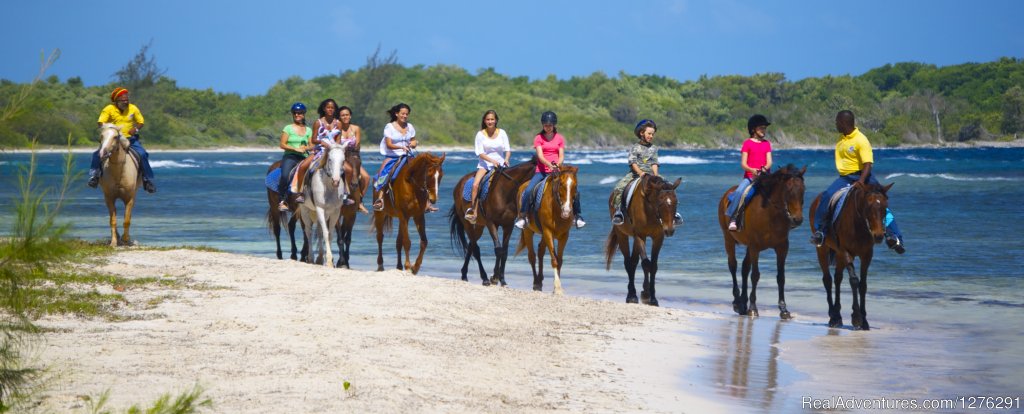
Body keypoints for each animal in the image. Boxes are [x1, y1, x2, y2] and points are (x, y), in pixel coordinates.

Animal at [516, 164, 581, 295]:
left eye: (575, 186)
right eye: (561, 184)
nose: (567, 211)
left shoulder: (564, 235)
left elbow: (559, 260)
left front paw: (558, 286)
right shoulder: (548, 232)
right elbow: (554, 260)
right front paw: (557, 288)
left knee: (540, 251)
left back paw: (540, 281)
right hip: (528, 231)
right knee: (532, 256)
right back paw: (536, 283)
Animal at [602, 173, 684, 305]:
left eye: (676, 202)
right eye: (660, 202)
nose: (670, 230)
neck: (650, 209)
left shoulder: (658, 237)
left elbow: (653, 266)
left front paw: (652, 297)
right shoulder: (640, 236)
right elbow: (646, 263)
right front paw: (646, 295)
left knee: (634, 262)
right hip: (622, 234)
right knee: (629, 263)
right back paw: (631, 295)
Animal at [716, 163, 802, 317]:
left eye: (803, 190)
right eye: (789, 191)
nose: (797, 220)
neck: (770, 214)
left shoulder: (782, 248)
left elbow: (781, 277)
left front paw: (783, 309)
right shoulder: (755, 247)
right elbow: (755, 275)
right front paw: (753, 308)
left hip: (748, 246)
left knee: (744, 268)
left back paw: (743, 304)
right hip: (729, 240)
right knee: (733, 266)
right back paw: (737, 302)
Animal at [811, 181, 892, 329]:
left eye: (885, 207)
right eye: (868, 207)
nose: (878, 235)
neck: (858, 224)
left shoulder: (867, 254)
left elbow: (863, 284)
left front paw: (864, 320)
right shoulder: (845, 251)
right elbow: (854, 281)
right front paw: (857, 317)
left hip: (838, 255)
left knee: (837, 278)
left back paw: (837, 316)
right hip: (823, 250)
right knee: (828, 279)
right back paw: (832, 316)